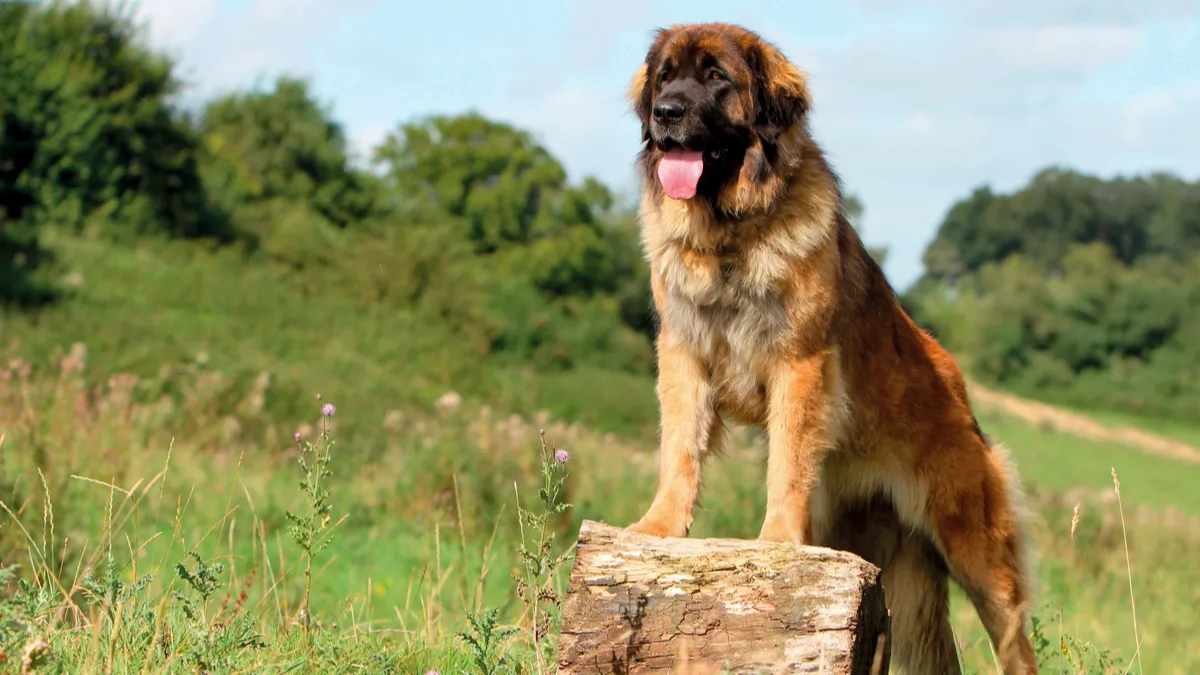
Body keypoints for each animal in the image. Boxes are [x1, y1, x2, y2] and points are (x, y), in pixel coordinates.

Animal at [624, 22, 1036, 672]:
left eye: (716, 77)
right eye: (665, 78)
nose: (666, 113)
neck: (732, 235)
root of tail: (957, 384)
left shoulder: (799, 363)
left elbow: (786, 462)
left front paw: (776, 545)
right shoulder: (684, 355)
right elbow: (680, 449)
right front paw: (659, 527)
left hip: (976, 546)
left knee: (1015, 639)